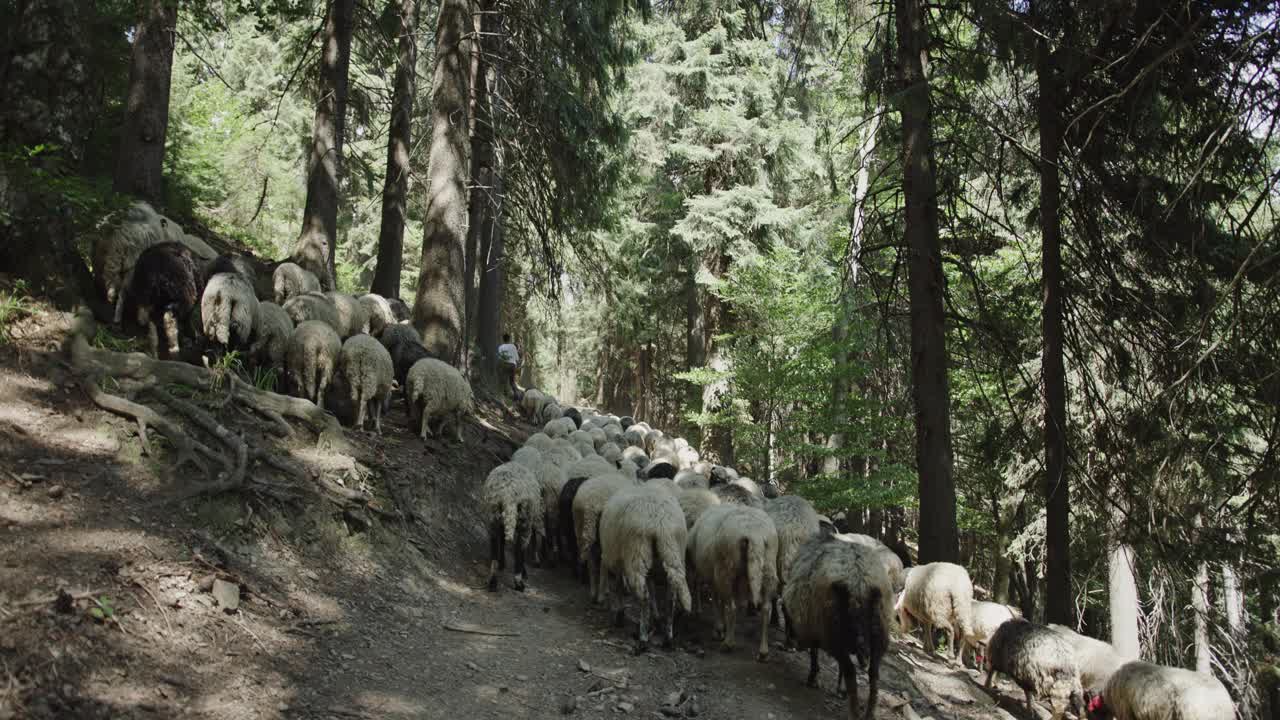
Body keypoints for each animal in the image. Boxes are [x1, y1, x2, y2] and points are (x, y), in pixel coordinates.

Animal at [478, 461, 542, 591]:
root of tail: (508, 494)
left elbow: (502, 542)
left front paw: (503, 563)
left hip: (493, 516)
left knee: (494, 549)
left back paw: (493, 581)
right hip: (524, 520)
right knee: (519, 549)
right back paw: (519, 583)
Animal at [601, 481, 696, 650]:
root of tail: (660, 523)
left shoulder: (614, 562)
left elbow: (617, 587)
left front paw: (619, 616)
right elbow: (652, 591)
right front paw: (656, 618)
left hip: (637, 553)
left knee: (643, 595)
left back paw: (643, 638)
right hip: (673, 550)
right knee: (670, 595)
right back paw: (668, 638)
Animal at [691, 502, 778, 661]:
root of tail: (754, 533)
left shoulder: (715, 576)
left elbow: (717, 601)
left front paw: (719, 628)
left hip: (727, 568)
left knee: (731, 608)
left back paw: (728, 644)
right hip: (769, 567)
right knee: (766, 609)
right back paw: (763, 651)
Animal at [783, 535, 896, 712]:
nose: (792, 644)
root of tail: (859, 582)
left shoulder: (815, 627)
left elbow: (814, 653)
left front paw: (813, 678)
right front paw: (840, 690)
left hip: (835, 633)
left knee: (851, 670)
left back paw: (855, 711)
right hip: (879, 631)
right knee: (874, 675)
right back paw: (869, 713)